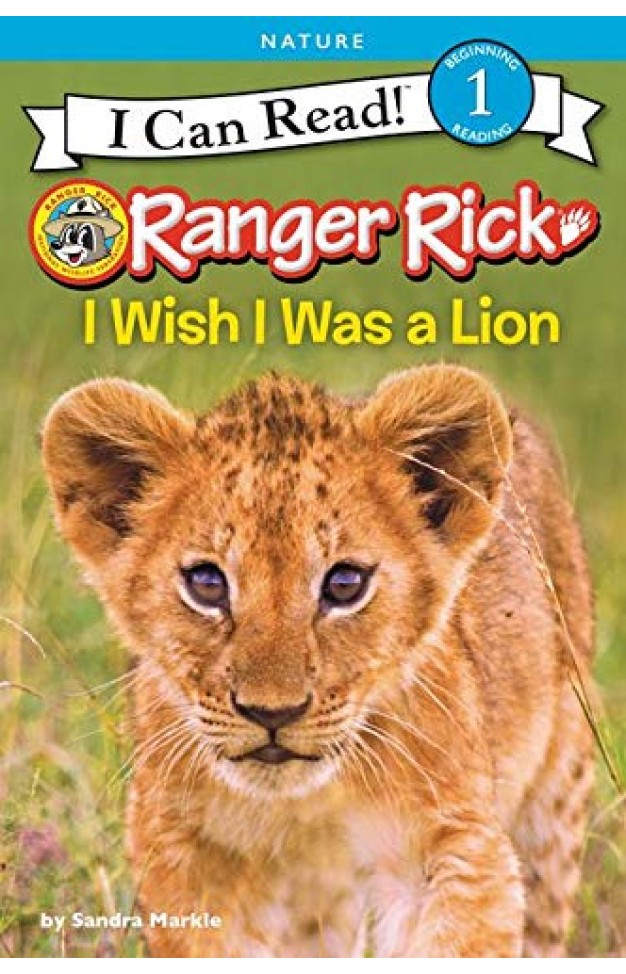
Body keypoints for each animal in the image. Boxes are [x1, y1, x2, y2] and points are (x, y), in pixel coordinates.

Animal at [41, 364, 594, 957]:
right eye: (207, 583)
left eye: (344, 583)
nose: (272, 713)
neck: (307, 804)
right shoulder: (182, 850)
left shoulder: (456, 842)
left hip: (556, 802)